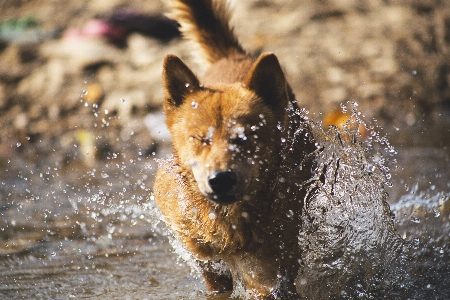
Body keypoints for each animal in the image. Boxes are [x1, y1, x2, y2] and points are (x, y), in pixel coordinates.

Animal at [154, 0, 316, 298]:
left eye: (245, 137)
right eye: (200, 139)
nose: (220, 179)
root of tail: (234, 57)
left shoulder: (272, 266)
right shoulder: (201, 254)